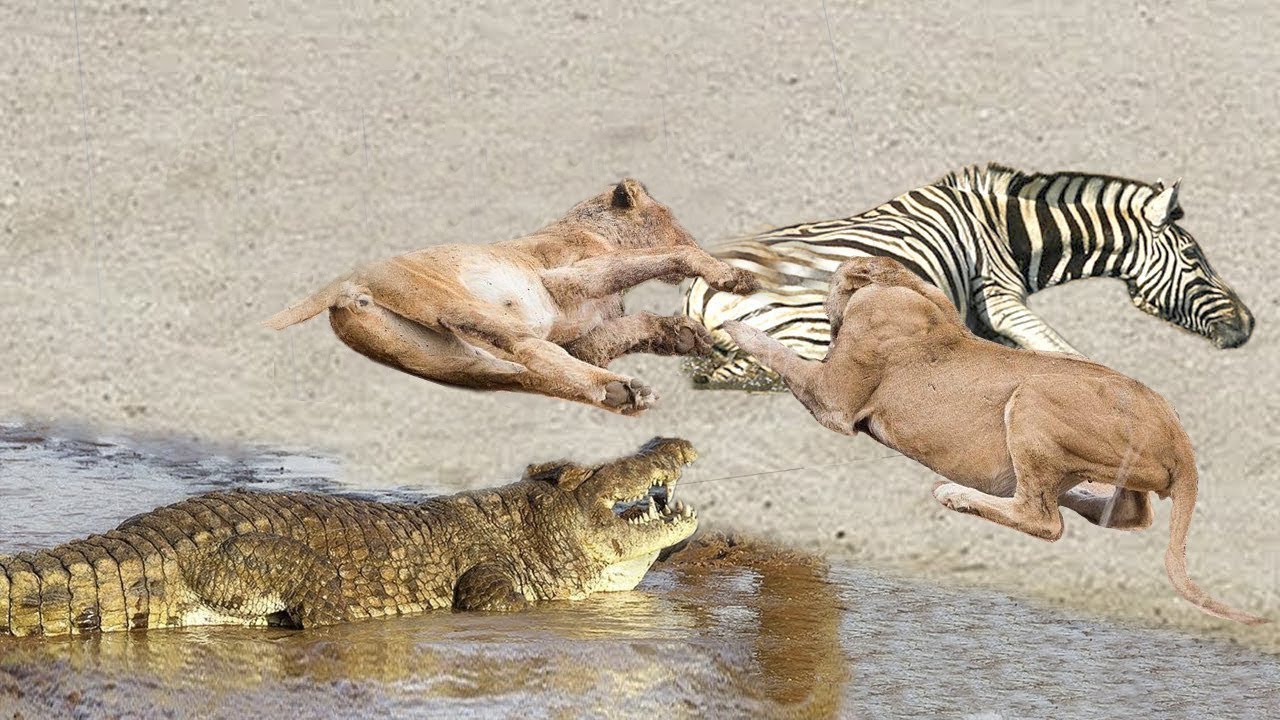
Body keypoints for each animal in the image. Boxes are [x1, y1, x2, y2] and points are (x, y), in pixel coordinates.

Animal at [265, 179, 758, 414]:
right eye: (670, 215)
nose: (693, 232)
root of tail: (344, 285)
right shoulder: (565, 277)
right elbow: (663, 256)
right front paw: (730, 275)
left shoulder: (585, 339)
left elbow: (633, 325)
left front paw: (685, 335)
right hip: (458, 304)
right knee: (528, 351)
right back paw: (623, 390)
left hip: (450, 359)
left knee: (524, 373)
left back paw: (621, 393)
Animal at [682, 163, 1255, 391]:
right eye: (1194, 257)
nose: (1248, 325)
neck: (1007, 229)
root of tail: (701, 293)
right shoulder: (997, 294)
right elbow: (1072, 355)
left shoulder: (987, 318)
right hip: (815, 322)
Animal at [723, 255, 1266, 624]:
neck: (900, 285)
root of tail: (1178, 437)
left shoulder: (834, 402)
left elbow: (781, 353)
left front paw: (734, 325)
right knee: (1125, 512)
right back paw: (1071, 490)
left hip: (1030, 397)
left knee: (1044, 519)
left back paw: (957, 494)